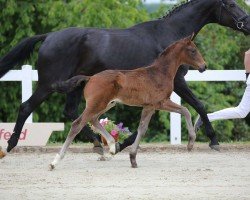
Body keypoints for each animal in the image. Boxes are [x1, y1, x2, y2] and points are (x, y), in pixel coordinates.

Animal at [0, 0, 250, 156]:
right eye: (230, 4)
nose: (247, 23)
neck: (168, 37)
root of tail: (49, 36)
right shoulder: (177, 82)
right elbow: (199, 105)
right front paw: (214, 140)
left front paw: (121, 144)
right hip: (48, 84)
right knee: (26, 107)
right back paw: (11, 145)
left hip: (74, 86)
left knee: (72, 112)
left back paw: (98, 144)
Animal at [49, 35, 207, 170]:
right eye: (193, 51)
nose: (204, 66)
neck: (159, 73)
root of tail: (90, 78)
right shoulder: (157, 104)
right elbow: (183, 112)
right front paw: (191, 143)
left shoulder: (153, 106)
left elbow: (145, 127)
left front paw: (133, 159)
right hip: (96, 105)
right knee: (77, 124)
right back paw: (55, 162)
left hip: (107, 104)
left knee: (93, 120)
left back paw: (112, 147)